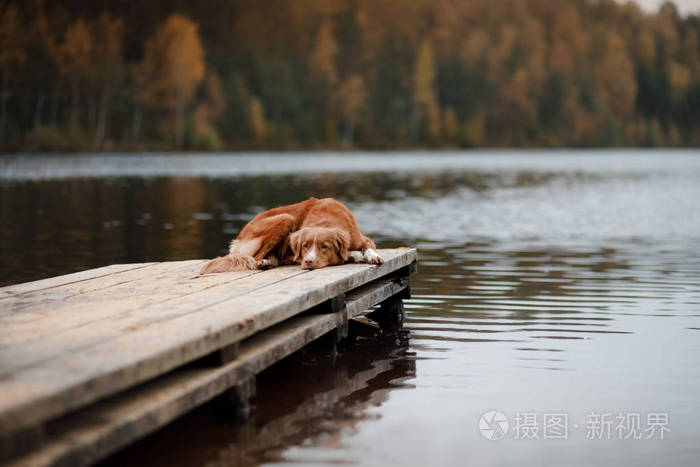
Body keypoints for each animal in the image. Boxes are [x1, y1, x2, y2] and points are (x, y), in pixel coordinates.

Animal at [200, 197, 382, 274]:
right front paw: (356, 256)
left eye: (324, 246)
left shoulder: (361, 238)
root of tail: (239, 236)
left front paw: (371, 256)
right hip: (286, 218)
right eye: (305, 246)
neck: (326, 219)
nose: (308, 261)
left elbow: (367, 247)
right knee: (255, 258)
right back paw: (263, 262)